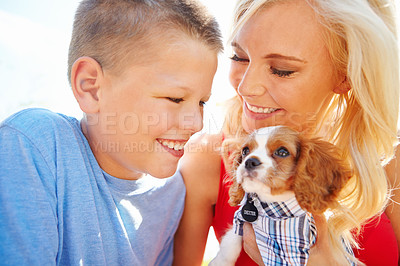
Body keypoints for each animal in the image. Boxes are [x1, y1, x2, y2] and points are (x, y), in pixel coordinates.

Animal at [211, 125, 352, 264]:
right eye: (245, 151)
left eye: (282, 152)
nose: (250, 161)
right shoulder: (241, 219)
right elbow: (231, 240)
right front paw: (220, 261)